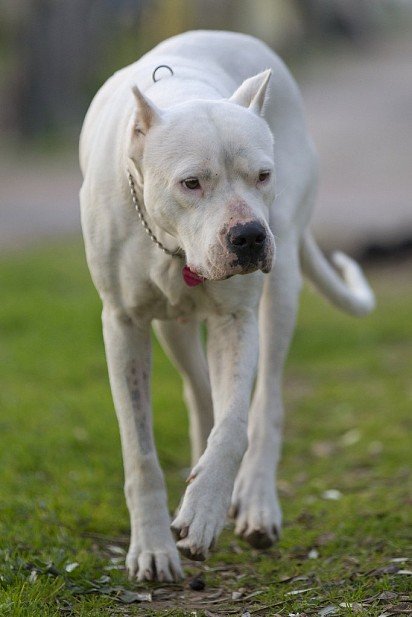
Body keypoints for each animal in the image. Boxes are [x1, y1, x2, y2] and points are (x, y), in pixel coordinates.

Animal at [79, 30, 374, 584]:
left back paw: (254, 501)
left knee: (267, 403)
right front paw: (153, 546)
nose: (250, 236)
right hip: (171, 326)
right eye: (191, 182)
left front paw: (206, 507)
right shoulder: (124, 325)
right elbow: (140, 452)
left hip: (281, 290)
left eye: (262, 175)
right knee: (199, 392)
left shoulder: (236, 321)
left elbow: (236, 423)